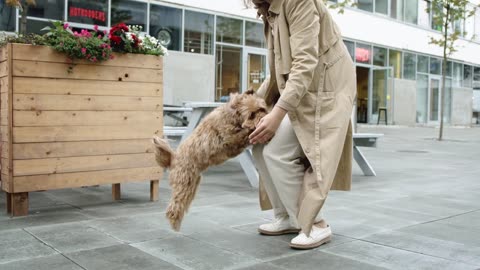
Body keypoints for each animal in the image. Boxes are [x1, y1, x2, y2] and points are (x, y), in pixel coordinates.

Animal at [153, 90, 268, 230]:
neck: (233, 116)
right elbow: (244, 133)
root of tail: (173, 159)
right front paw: (252, 130)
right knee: (174, 206)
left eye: (261, 109)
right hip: (184, 182)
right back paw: (175, 223)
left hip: (192, 185)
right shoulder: (229, 139)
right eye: (251, 115)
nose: (263, 118)